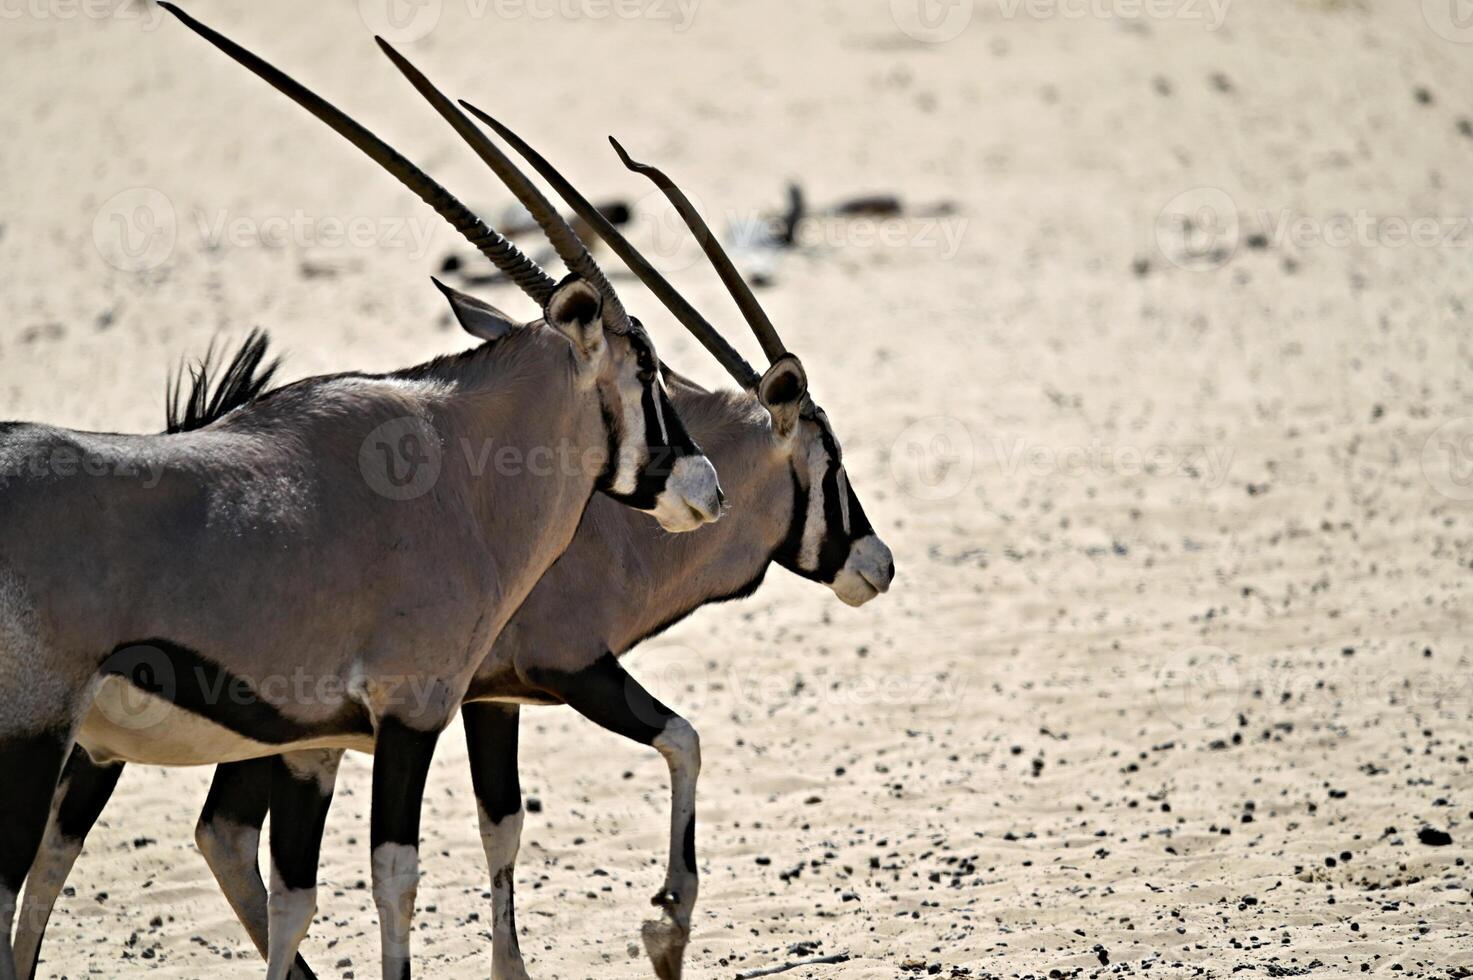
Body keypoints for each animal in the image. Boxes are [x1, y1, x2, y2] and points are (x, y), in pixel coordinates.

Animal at [17, 55, 895, 980]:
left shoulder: (489, 698)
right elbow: (679, 741)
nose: (877, 563)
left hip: (141, 739)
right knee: (203, 836)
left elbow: (500, 826)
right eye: (830, 457)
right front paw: (665, 926)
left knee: (125, 846)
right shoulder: (560, 669)